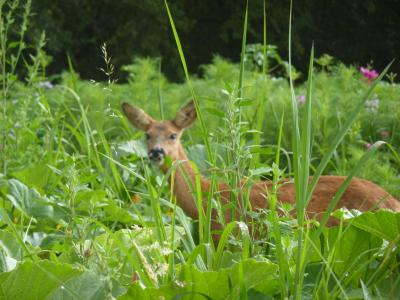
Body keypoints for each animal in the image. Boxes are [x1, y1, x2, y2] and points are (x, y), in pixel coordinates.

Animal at [122, 101, 400, 244]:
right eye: (147, 135)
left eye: (173, 135)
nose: (156, 152)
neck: (205, 199)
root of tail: (393, 202)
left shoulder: (232, 238)